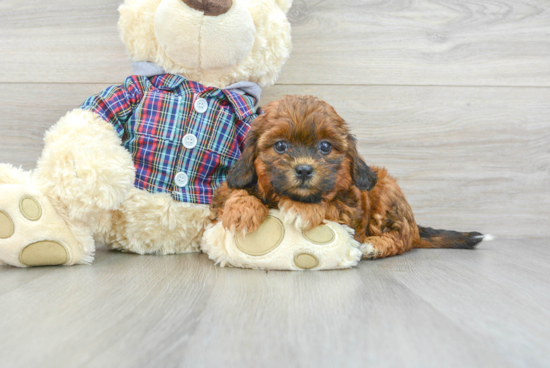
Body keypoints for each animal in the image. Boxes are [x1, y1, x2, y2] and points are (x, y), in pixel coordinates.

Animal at [210, 96, 488, 260]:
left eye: (325, 147)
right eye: (280, 146)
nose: (304, 170)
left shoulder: (348, 214)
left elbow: (326, 204)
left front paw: (301, 209)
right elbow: (233, 192)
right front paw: (241, 210)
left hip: (386, 190)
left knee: (404, 236)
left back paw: (376, 246)